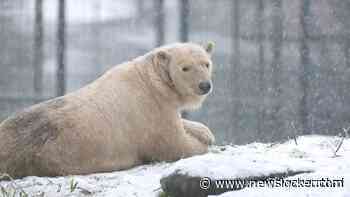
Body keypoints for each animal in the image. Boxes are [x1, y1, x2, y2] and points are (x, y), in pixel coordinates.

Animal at [0, 42, 216, 178]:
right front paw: (202, 144)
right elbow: (174, 144)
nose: (204, 85)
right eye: (185, 68)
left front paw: (206, 132)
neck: (151, 80)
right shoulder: (149, 110)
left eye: (206, 63)